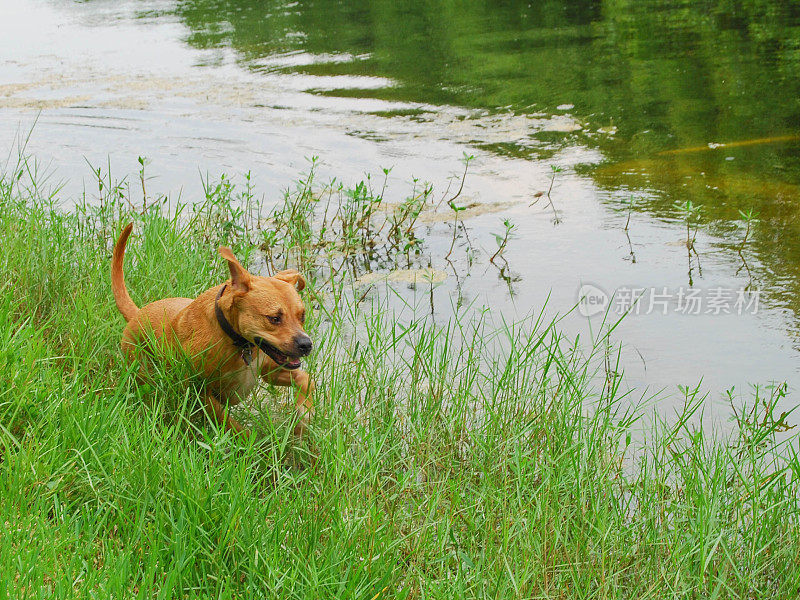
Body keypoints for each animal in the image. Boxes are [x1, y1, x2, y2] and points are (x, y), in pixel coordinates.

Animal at [110, 223, 316, 438]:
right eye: (274, 319)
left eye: (302, 316)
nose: (306, 344)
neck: (237, 342)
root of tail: (137, 314)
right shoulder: (201, 394)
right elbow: (228, 421)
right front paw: (254, 441)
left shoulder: (269, 370)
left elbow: (305, 378)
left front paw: (304, 415)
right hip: (141, 373)